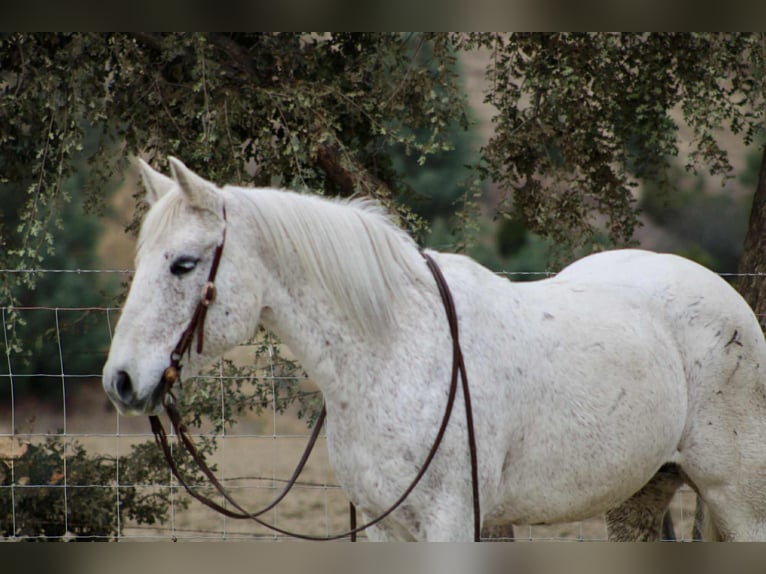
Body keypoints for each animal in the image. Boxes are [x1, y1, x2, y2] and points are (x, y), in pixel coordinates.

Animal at [103, 157, 766, 541]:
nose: (121, 381)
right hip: (642, 493)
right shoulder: (382, 528)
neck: (395, 351)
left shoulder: (451, 524)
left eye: (184, 264)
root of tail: (728, 298)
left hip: (737, 502)